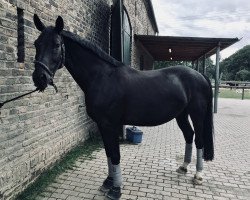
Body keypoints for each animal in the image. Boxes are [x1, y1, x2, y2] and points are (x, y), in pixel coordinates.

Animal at [32, 14, 214, 199]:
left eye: (56, 45)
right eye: (36, 44)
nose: (39, 78)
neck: (102, 77)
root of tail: (200, 75)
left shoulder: (110, 124)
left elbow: (115, 155)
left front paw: (116, 189)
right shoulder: (102, 125)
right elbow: (108, 153)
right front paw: (108, 182)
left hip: (197, 114)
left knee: (199, 139)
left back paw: (198, 175)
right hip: (181, 114)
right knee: (189, 135)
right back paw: (183, 167)